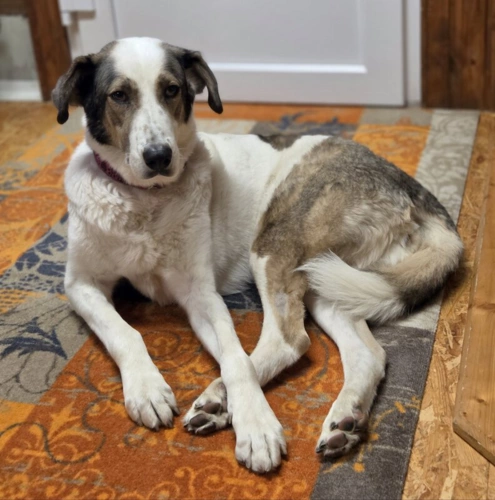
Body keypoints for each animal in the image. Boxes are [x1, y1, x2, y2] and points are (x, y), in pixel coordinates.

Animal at [53, 37, 462, 473]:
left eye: (171, 90)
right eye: (119, 96)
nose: (159, 155)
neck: (142, 203)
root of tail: (414, 189)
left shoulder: (201, 294)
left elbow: (235, 357)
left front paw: (254, 424)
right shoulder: (80, 284)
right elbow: (123, 332)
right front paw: (146, 388)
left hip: (273, 246)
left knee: (289, 340)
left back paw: (219, 400)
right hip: (328, 281)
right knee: (367, 353)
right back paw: (345, 420)